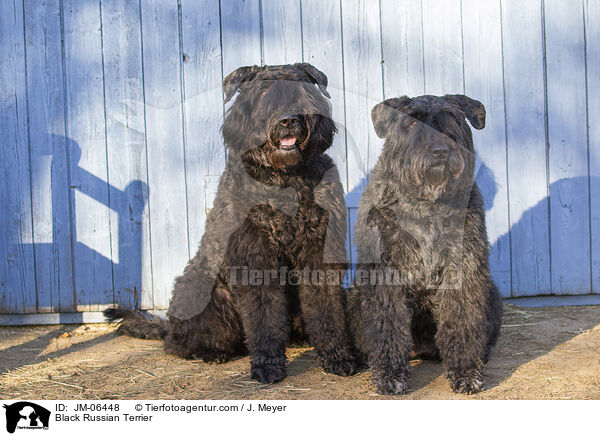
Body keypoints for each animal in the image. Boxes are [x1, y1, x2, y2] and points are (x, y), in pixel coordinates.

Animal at [105, 63, 358, 384]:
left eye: (301, 89)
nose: (288, 120)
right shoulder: (254, 256)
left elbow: (327, 308)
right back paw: (210, 351)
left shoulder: (318, 251)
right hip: (204, 294)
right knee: (179, 341)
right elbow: (264, 317)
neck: (284, 179)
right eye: (263, 92)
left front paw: (338, 355)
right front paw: (268, 365)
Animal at [350, 95, 504, 396]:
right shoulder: (385, 274)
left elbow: (462, 320)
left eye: (453, 119)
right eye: (412, 122)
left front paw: (467, 371)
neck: (426, 204)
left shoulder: (463, 268)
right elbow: (388, 324)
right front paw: (390, 374)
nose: (440, 151)